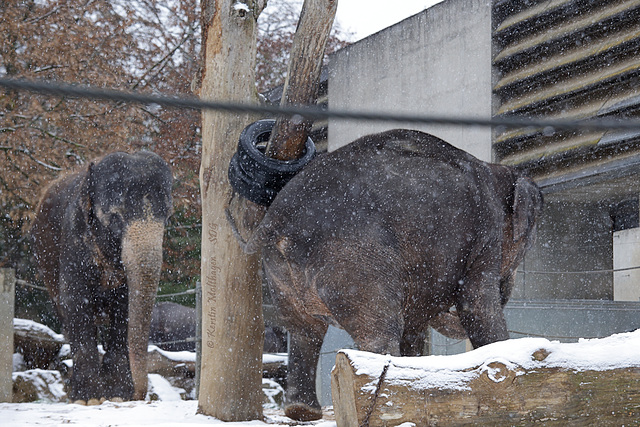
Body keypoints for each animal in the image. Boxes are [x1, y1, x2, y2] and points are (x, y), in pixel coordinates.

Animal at [31, 151, 172, 404]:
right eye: (115, 218)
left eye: (167, 217)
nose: (138, 395)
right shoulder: (74, 238)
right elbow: (76, 302)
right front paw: (88, 399)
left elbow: (124, 307)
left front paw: (117, 396)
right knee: (66, 316)